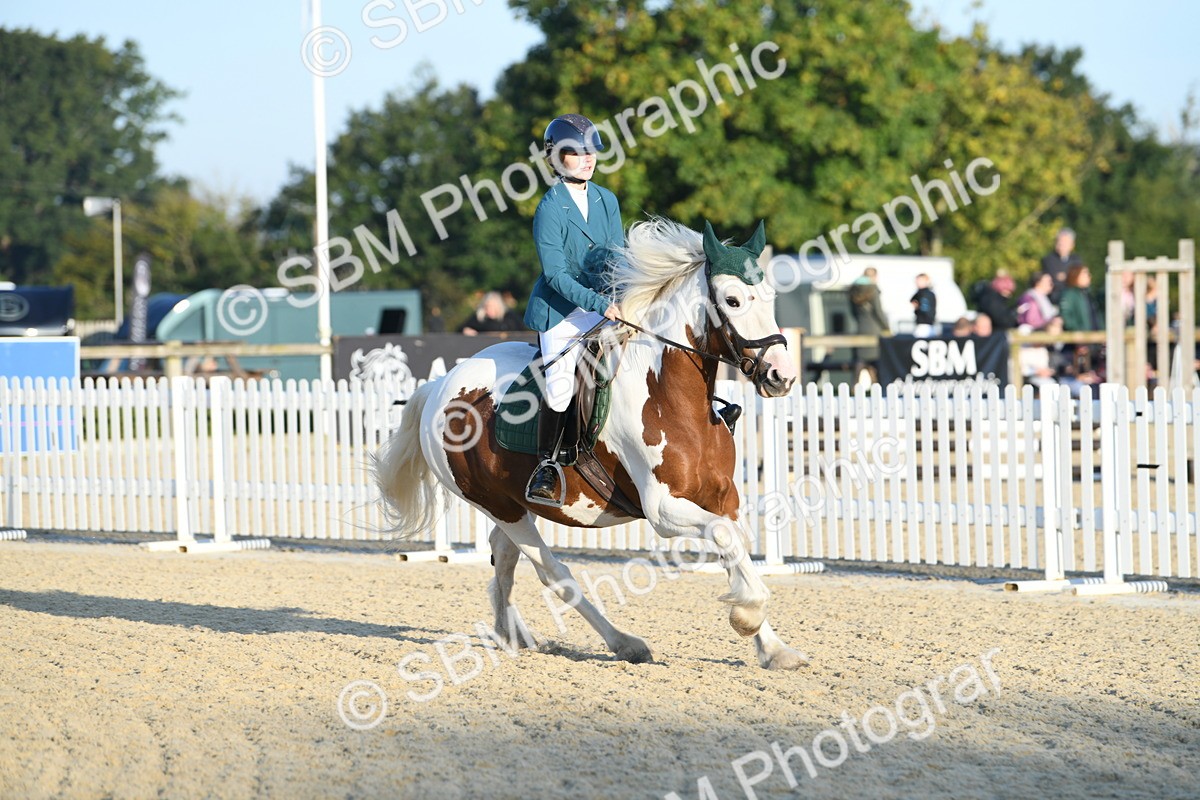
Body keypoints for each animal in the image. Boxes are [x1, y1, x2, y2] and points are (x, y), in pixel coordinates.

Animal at [375, 218, 806, 670]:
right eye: (733, 300)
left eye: (771, 298)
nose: (781, 376)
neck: (672, 397)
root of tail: (440, 386)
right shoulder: (663, 510)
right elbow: (725, 539)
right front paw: (747, 615)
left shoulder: (724, 498)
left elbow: (735, 544)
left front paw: (773, 647)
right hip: (495, 504)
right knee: (553, 573)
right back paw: (624, 643)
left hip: (512, 504)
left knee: (504, 556)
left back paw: (513, 635)